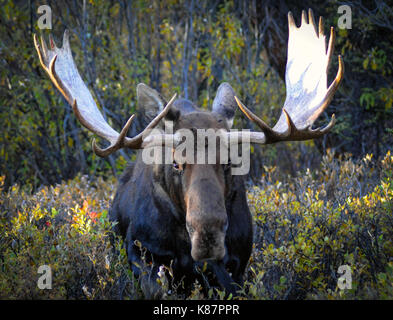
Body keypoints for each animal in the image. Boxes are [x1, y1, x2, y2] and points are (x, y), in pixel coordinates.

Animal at [34, 9, 344, 298]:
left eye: (230, 162)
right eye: (176, 164)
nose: (208, 235)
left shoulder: (237, 263)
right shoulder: (141, 253)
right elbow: (157, 289)